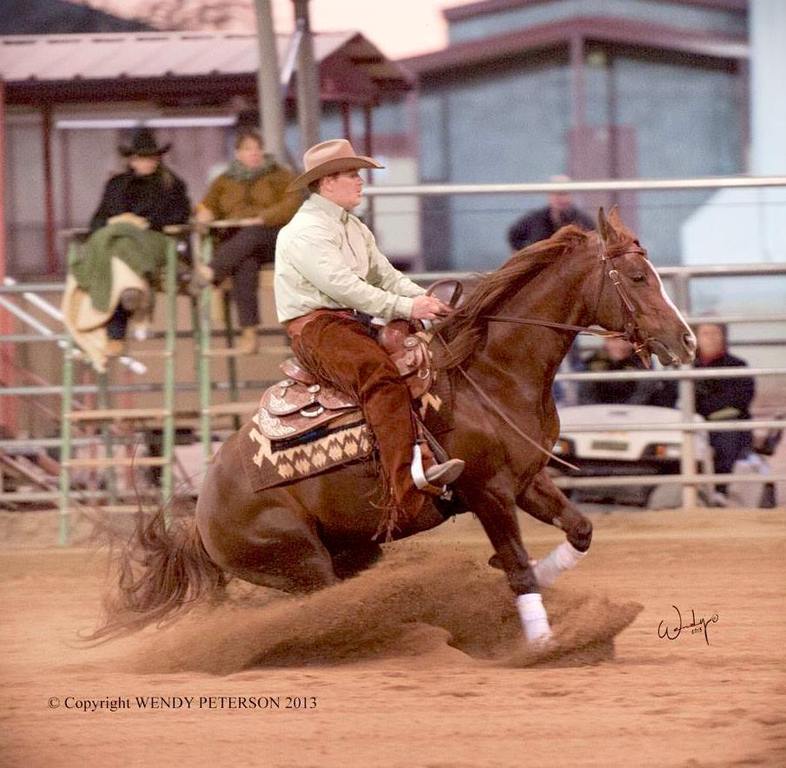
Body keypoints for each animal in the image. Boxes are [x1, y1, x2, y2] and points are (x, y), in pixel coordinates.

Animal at [96, 208, 695, 645]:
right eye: (638, 277)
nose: (686, 340)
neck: (492, 370)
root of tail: (202, 513)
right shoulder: (487, 492)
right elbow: (519, 569)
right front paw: (543, 643)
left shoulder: (527, 481)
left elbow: (578, 531)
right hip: (303, 564)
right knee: (316, 608)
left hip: (354, 549)